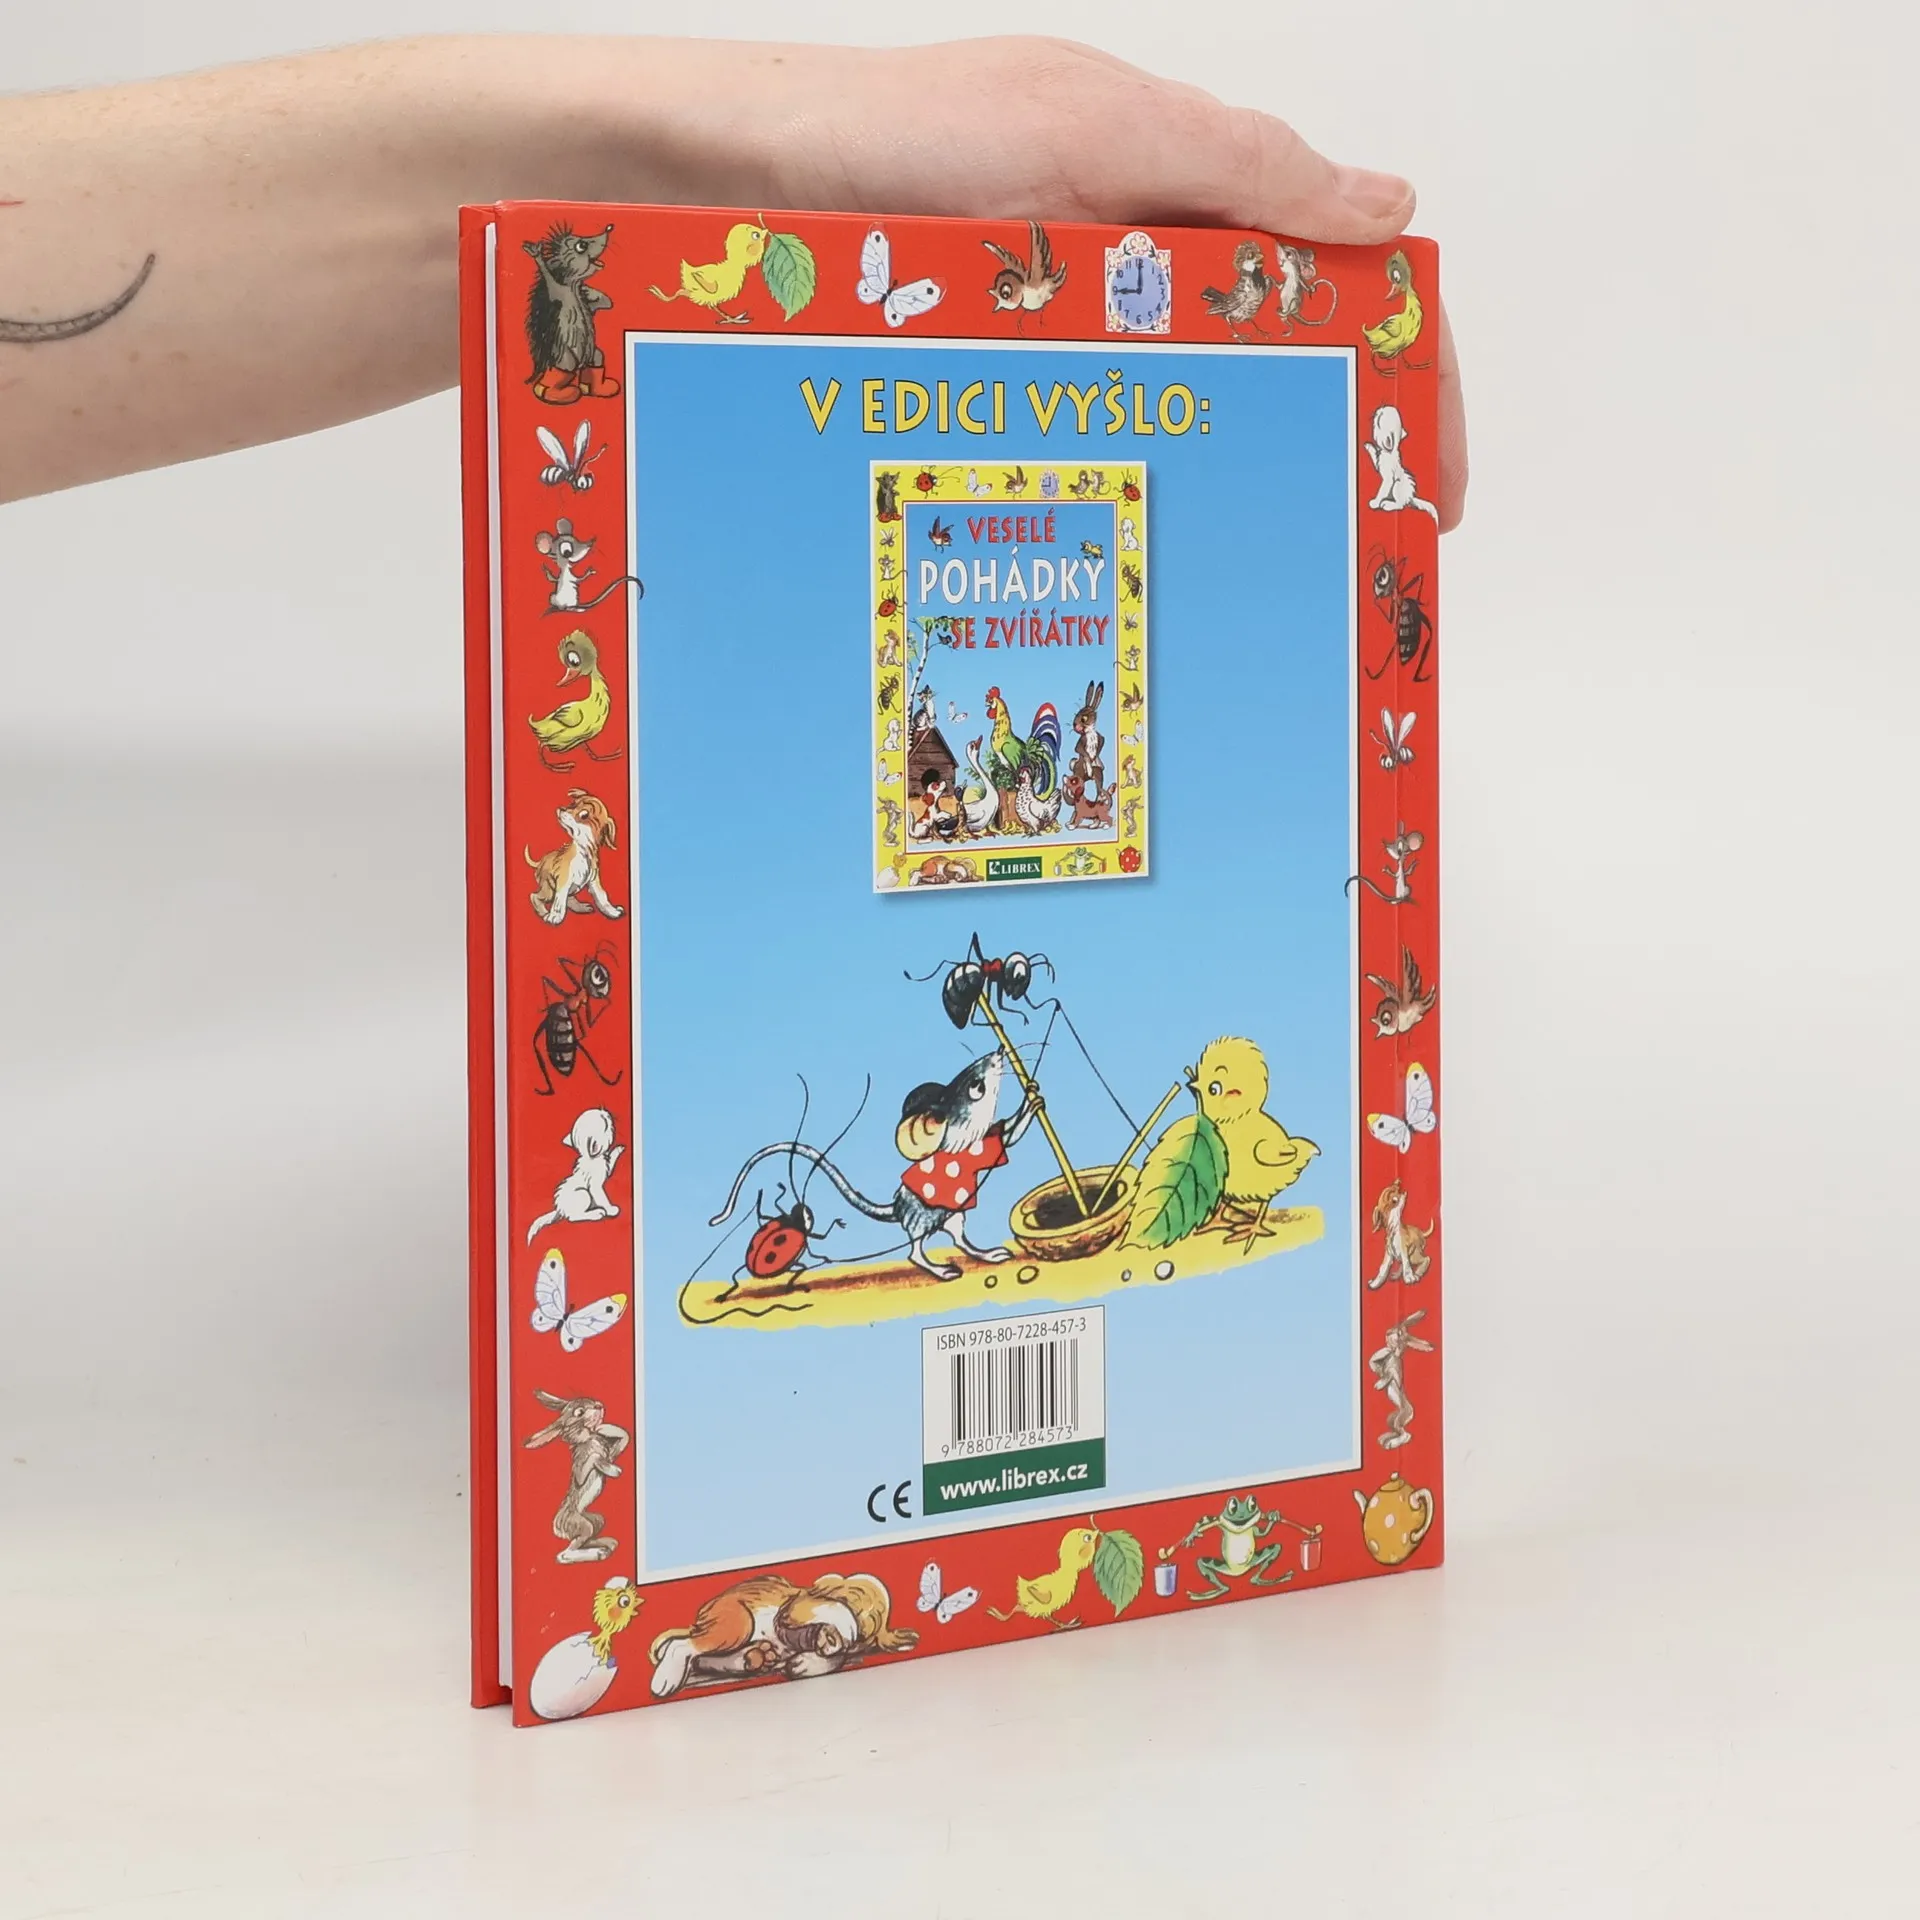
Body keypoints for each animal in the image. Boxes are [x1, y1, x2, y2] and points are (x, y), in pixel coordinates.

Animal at [523, 1390, 631, 1563]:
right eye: (579, 1412)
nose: (599, 1405)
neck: (587, 1437)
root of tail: (556, 1527)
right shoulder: (581, 1463)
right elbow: (590, 1463)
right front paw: (613, 1470)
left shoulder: (610, 1453)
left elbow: (624, 1437)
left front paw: (603, 1428)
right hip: (581, 1525)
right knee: (564, 1554)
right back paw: (600, 1552)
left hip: (597, 1520)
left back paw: (607, 1543)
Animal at [525, 1106, 624, 1244]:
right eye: (605, 1122)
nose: (605, 1111)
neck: (590, 1158)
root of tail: (560, 1209)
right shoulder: (595, 1185)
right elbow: (601, 1196)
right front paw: (611, 1209)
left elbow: (610, 1161)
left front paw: (618, 1149)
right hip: (583, 1193)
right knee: (573, 1218)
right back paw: (596, 1214)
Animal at [526, 789, 621, 924]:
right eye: (573, 804)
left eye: (584, 815)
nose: (561, 809)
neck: (583, 852)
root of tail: (541, 861)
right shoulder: (562, 882)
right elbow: (559, 901)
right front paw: (555, 916)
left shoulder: (594, 881)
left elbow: (601, 896)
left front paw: (612, 912)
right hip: (549, 888)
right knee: (535, 896)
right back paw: (544, 913)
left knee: (568, 898)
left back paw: (580, 907)